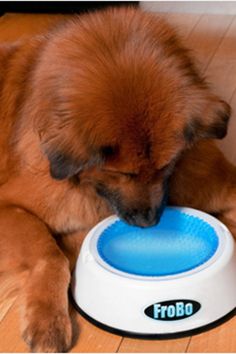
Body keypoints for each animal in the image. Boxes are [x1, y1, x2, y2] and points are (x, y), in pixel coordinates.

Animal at [0, 6, 235, 352]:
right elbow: (48, 254)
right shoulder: (9, 205)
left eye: (168, 165)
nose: (151, 223)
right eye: (123, 173)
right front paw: (48, 318)